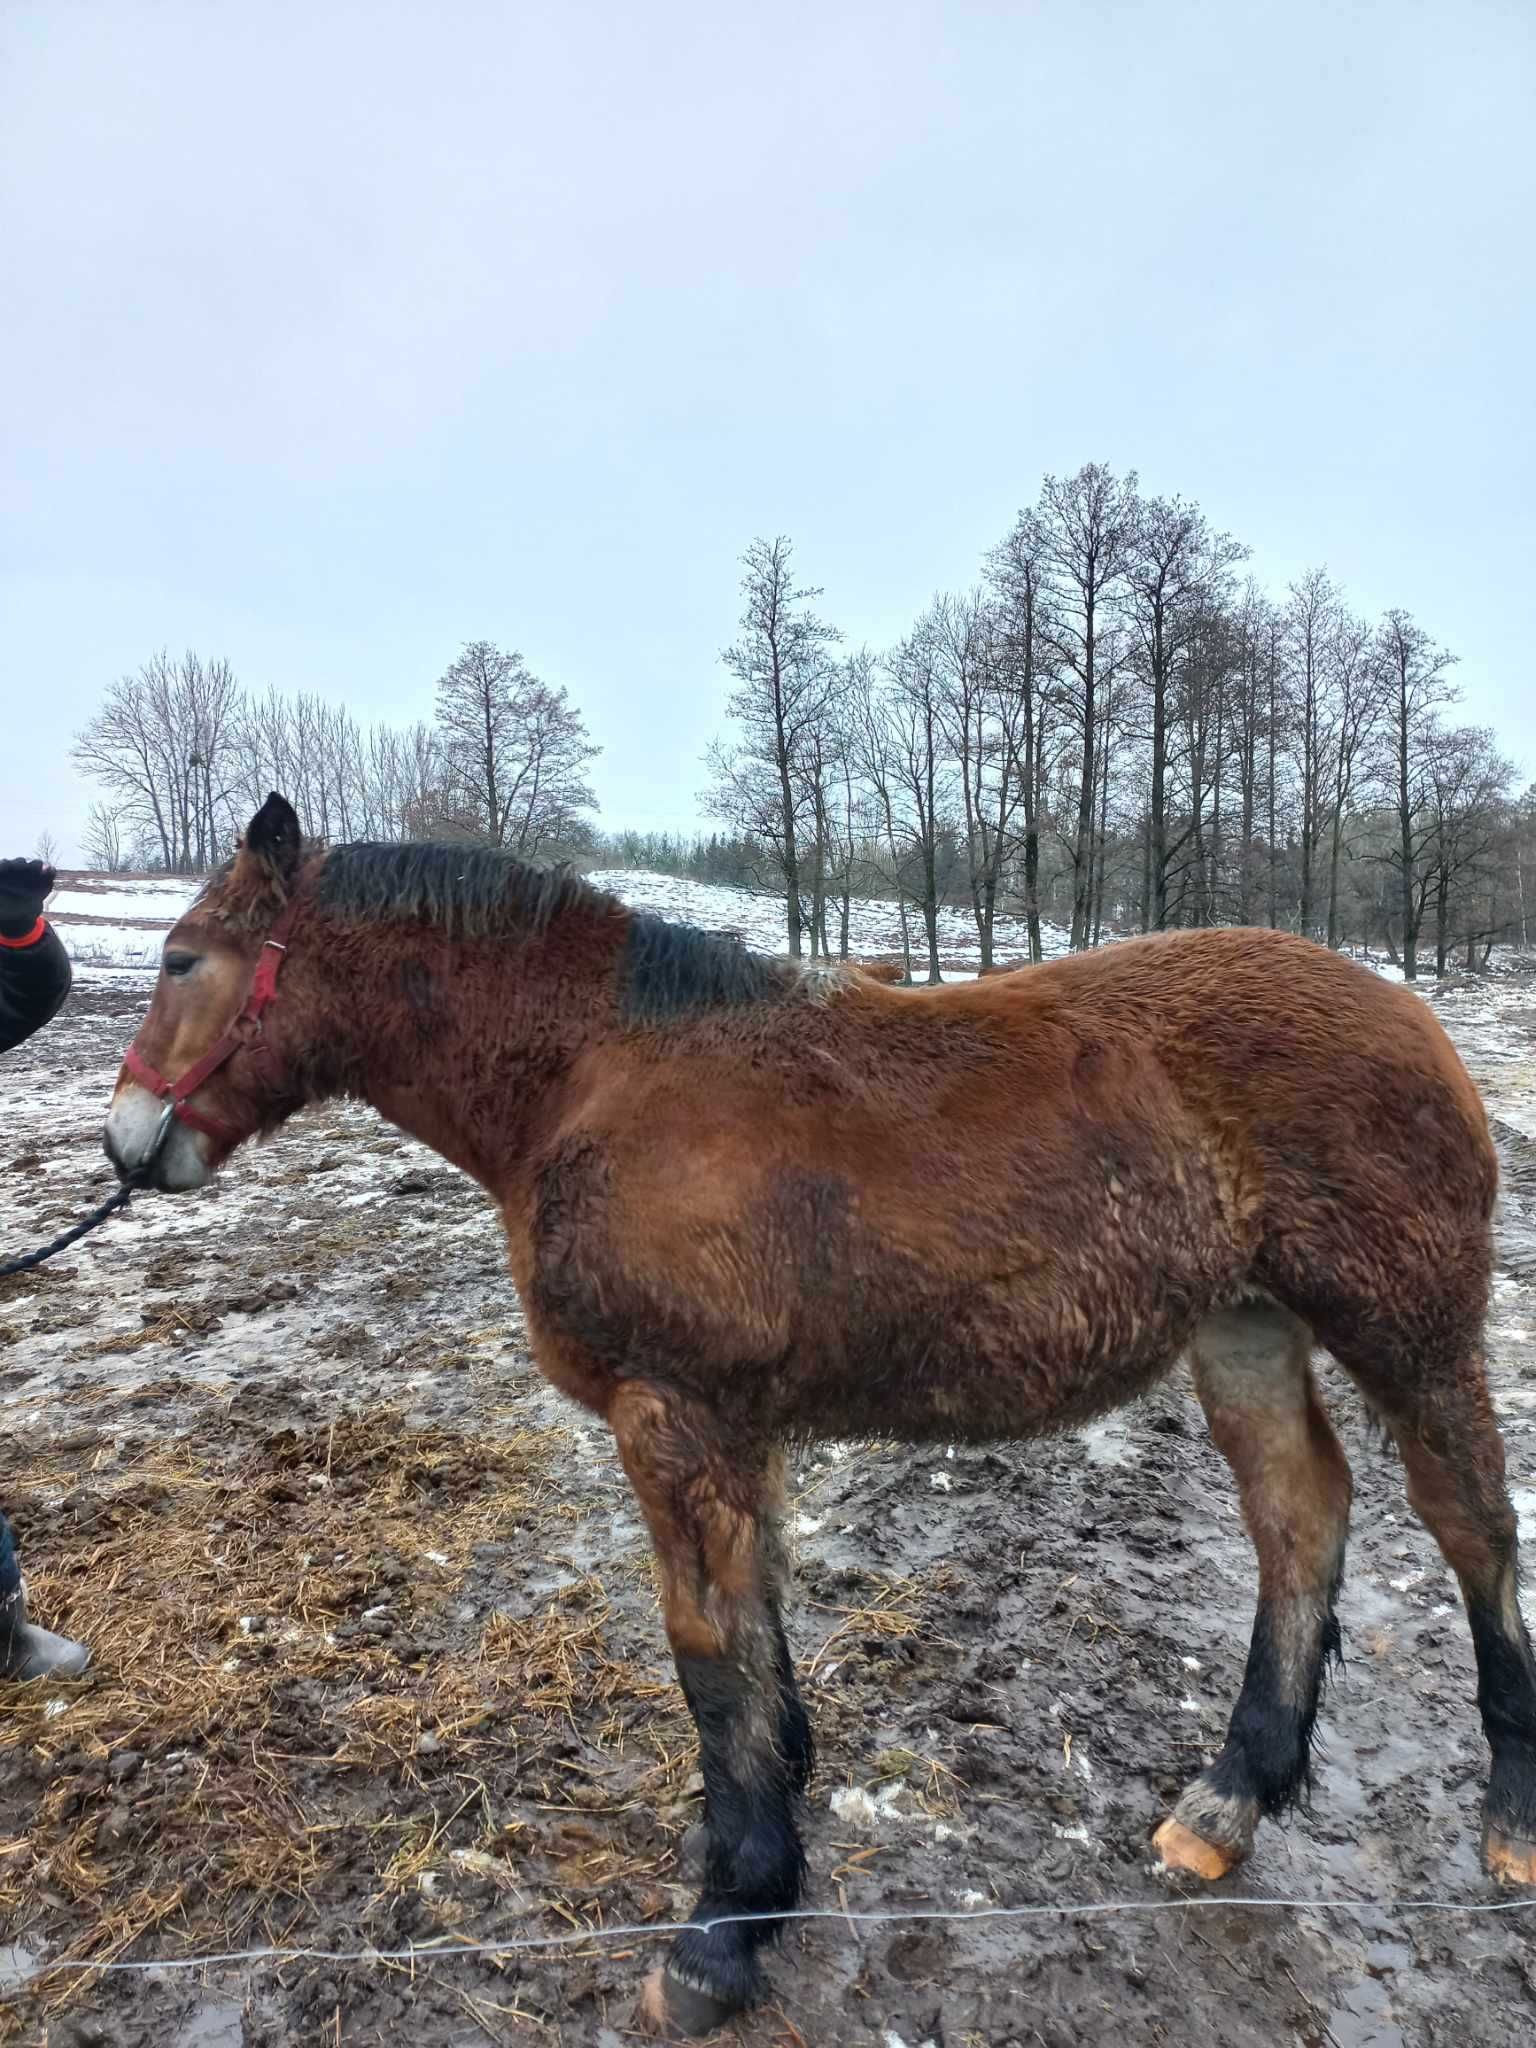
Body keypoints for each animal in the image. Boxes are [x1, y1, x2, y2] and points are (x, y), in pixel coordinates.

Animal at [102, 794, 1531, 2031]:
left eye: (182, 957)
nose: (127, 1143)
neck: (598, 1076)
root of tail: (1410, 1009)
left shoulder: (673, 1414)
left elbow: (705, 1647)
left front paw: (727, 1921)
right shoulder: (735, 1433)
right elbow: (757, 1634)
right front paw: (768, 1826)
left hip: (1409, 1327)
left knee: (1471, 1522)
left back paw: (1510, 1813)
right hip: (1244, 1326)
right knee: (1301, 1518)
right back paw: (1230, 1800)